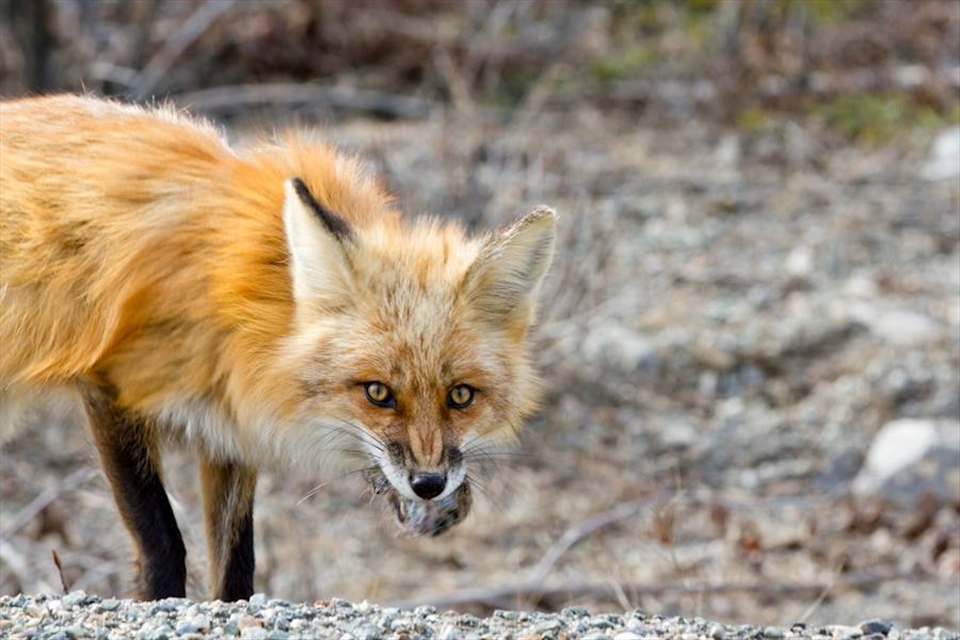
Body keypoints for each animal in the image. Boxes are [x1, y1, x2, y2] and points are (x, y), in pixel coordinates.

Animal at [0, 94, 556, 602]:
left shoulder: (228, 427)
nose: (429, 484)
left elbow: (236, 562)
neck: (235, 303)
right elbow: (162, 542)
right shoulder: (111, 390)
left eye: (461, 396)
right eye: (377, 393)